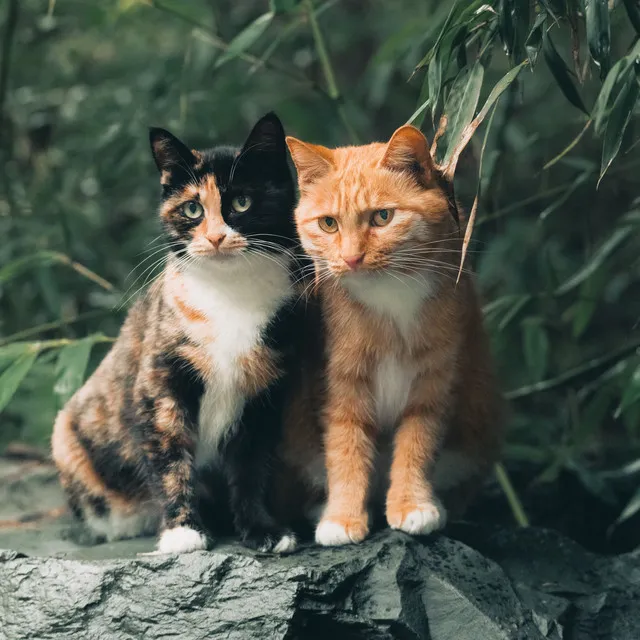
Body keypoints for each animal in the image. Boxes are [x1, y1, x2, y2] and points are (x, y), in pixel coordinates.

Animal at [50, 112, 300, 552]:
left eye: (242, 201)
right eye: (192, 208)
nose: (215, 236)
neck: (231, 298)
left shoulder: (263, 392)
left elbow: (252, 467)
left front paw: (262, 529)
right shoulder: (161, 383)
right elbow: (170, 456)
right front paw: (183, 530)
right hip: (65, 433)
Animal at [282, 124, 504, 544]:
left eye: (382, 217)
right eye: (329, 224)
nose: (351, 258)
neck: (390, 295)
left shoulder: (434, 380)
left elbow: (417, 446)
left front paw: (413, 504)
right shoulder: (343, 384)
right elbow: (346, 450)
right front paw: (342, 517)